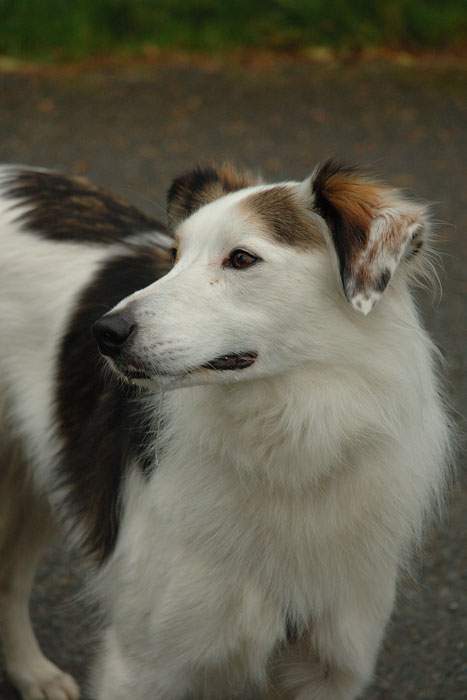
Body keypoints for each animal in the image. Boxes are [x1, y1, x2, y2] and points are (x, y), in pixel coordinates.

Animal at [0, 160, 454, 700]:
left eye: (241, 259)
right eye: (174, 256)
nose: (104, 334)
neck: (290, 434)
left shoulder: (328, 666)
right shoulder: (142, 665)